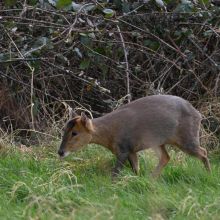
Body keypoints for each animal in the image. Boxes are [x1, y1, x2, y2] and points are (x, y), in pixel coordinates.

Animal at [57, 95, 211, 178]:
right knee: (165, 157)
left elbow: (115, 173)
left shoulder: (124, 149)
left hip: (186, 137)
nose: (60, 152)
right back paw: (151, 178)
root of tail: (198, 114)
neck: (109, 134)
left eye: (74, 133)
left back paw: (208, 174)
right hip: (158, 142)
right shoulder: (131, 151)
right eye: (64, 129)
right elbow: (136, 170)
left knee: (203, 152)